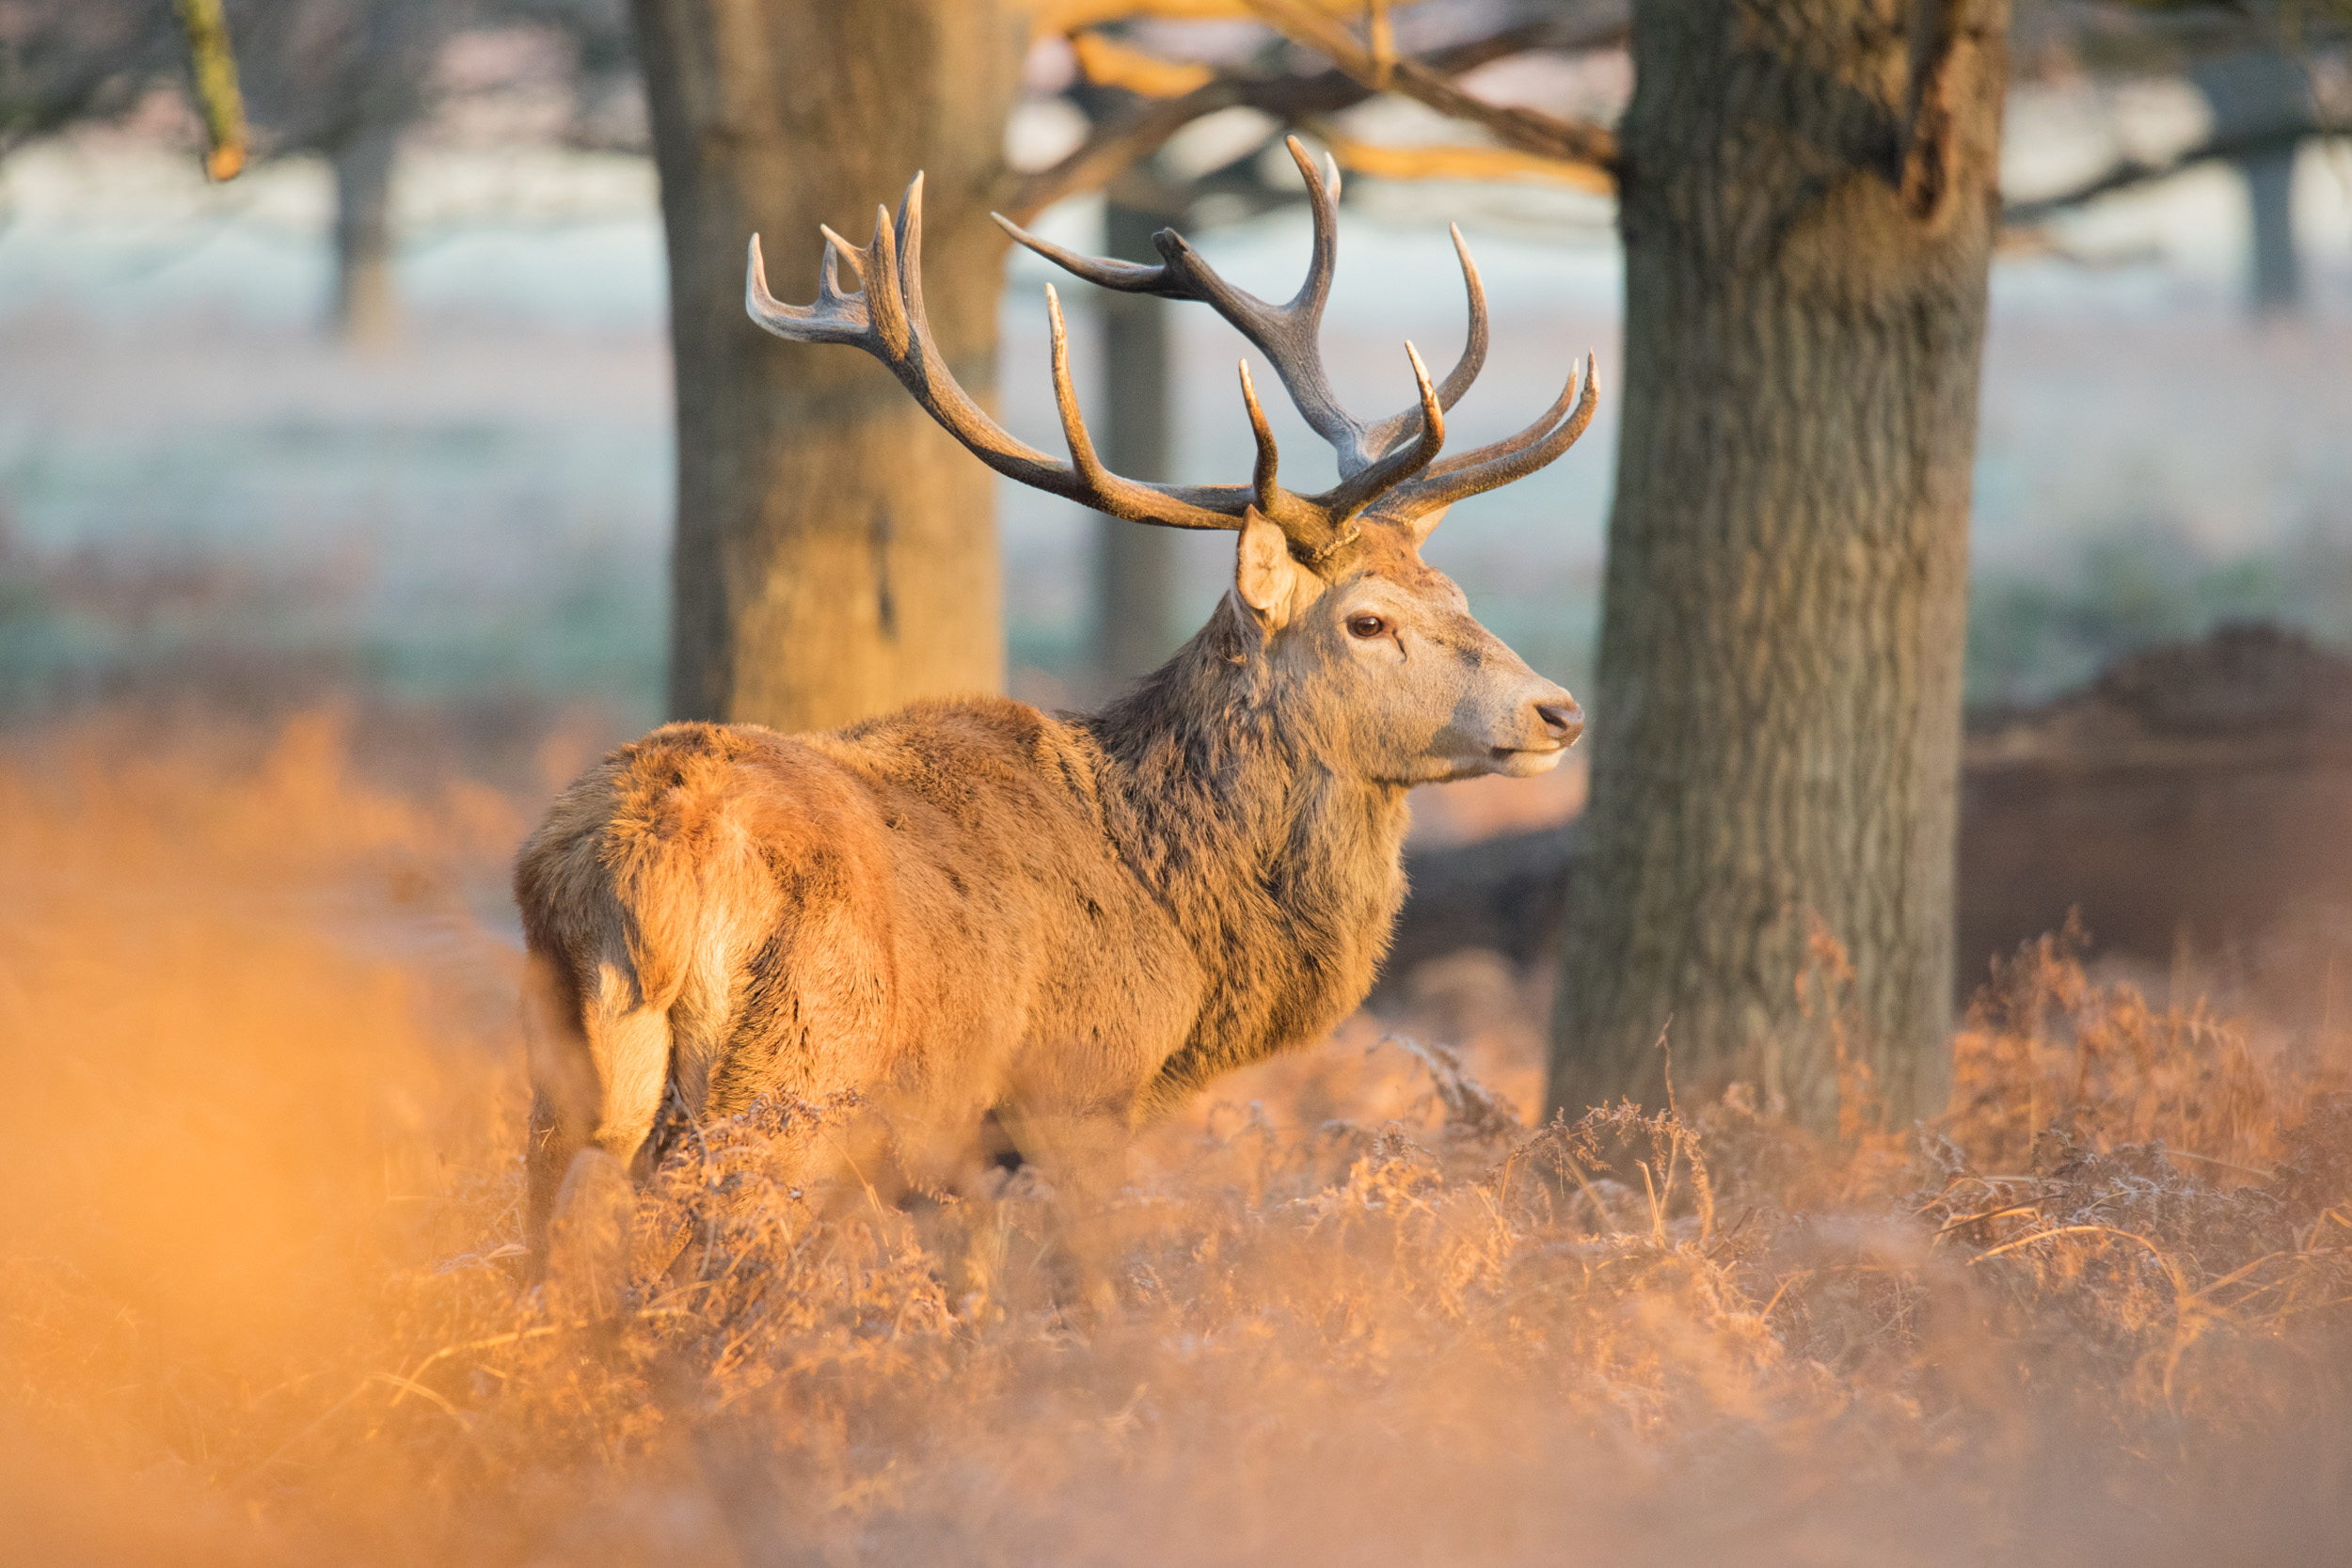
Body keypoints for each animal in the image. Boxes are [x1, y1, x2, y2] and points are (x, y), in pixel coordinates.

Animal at [516, 139, 1596, 1266]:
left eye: (1455, 593)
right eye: (1369, 621)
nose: (1558, 711)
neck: (1177, 915)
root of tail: (638, 861)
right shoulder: (1075, 1091)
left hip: (565, 1083)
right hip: (786, 1082)